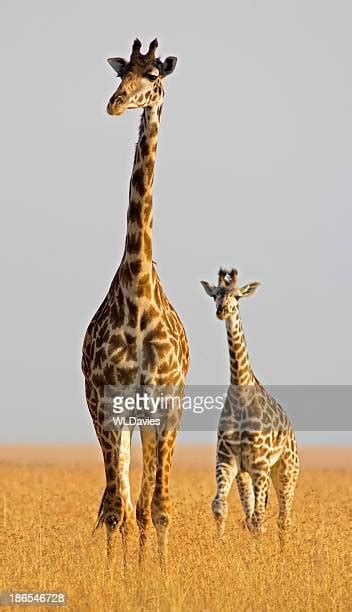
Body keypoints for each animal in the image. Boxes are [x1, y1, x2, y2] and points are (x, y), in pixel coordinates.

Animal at [202, 268, 298, 540]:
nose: (222, 310)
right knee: (252, 515)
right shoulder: (227, 460)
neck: (241, 394)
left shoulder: (260, 464)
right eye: (215, 294)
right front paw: (220, 544)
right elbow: (220, 506)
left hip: (286, 470)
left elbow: (259, 518)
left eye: (237, 296)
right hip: (246, 474)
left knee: (282, 519)